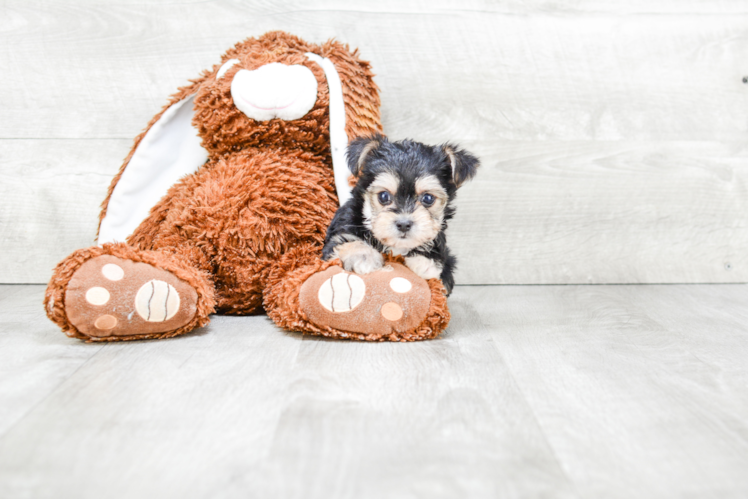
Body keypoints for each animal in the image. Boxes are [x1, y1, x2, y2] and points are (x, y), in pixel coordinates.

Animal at [322, 135, 480, 294]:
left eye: (428, 198)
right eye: (384, 196)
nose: (404, 224)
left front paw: (425, 262)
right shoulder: (341, 232)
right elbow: (347, 240)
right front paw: (363, 256)